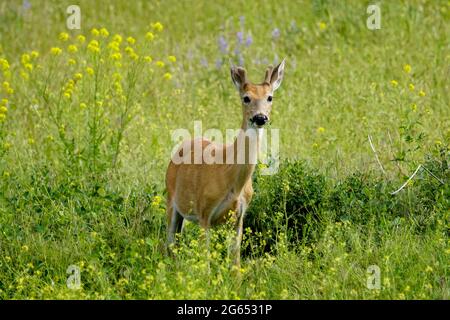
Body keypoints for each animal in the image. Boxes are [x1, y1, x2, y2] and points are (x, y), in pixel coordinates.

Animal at [165, 59, 284, 268]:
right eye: (246, 98)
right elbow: (205, 262)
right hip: (171, 200)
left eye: (270, 97)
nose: (260, 117)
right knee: (168, 244)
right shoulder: (204, 211)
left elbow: (236, 262)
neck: (231, 180)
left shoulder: (239, 217)